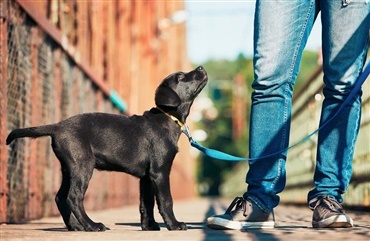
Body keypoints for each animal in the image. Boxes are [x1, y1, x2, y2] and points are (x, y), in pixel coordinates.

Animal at [5, 65, 207, 231]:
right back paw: (92, 225)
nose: (201, 67)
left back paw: (75, 227)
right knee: (74, 197)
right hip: (83, 165)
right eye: (180, 76)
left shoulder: (147, 177)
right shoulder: (160, 171)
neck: (167, 117)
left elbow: (146, 203)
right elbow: (166, 200)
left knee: (61, 197)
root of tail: (57, 126)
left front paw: (149, 226)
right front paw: (174, 224)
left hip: (69, 168)